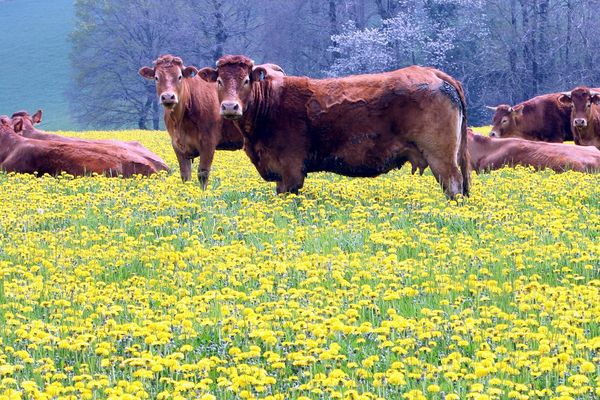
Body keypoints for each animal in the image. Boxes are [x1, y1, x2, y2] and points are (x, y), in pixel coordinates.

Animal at [199, 55, 472, 199]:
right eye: (220, 81)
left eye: (246, 80)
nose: (230, 106)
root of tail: (433, 74)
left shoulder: (291, 170)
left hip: (441, 157)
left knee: (454, 184)